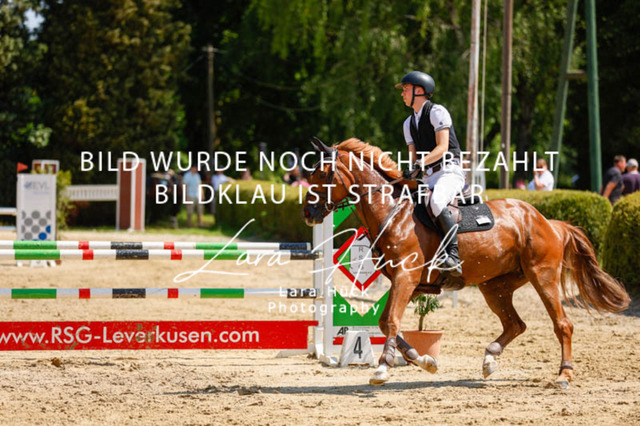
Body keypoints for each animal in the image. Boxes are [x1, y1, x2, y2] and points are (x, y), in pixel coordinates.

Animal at [302, 137, 630, 388]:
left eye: (323, 175)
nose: (308, 213)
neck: (392, 212)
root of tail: (547, 222)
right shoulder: (406, 282)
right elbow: (385, 322)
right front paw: (425, 361)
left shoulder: (407, 279)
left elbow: (392, 320)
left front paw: (383, 367)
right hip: (494, 287)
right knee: (516, 324)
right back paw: (490, 359)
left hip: (543, 277)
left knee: (562, 324)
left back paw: (564, 375)